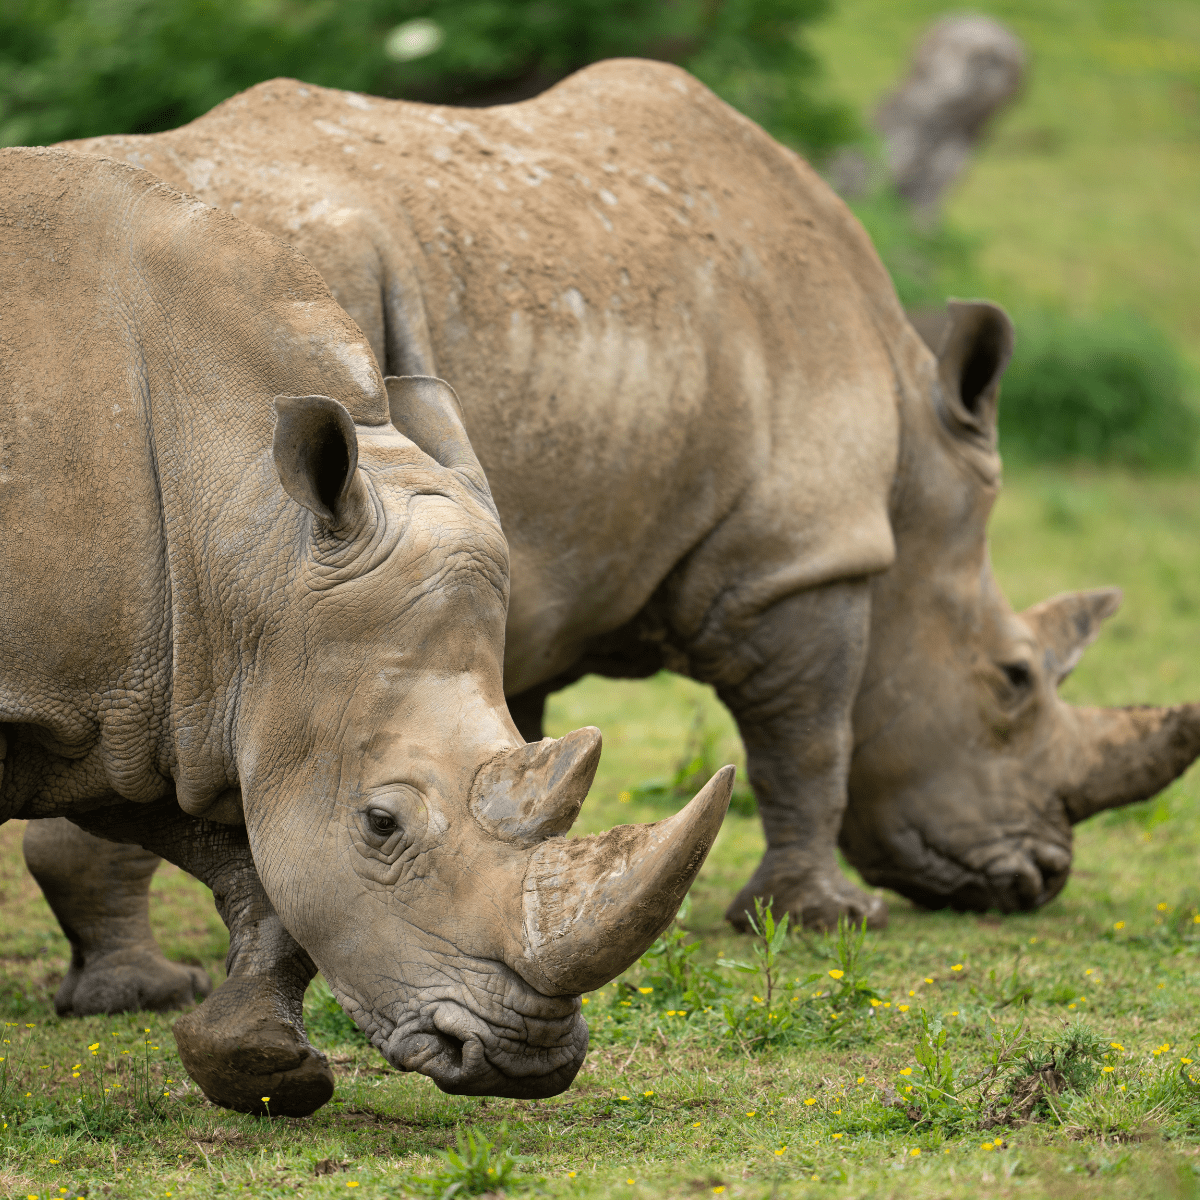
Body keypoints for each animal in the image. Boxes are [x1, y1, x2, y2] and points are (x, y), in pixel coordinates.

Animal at [0, 146, 733, 1116]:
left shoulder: (154, 697)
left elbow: (258, 864)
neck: (243, 525)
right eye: (382, 824)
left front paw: (259, 1067)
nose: (521, 1062)